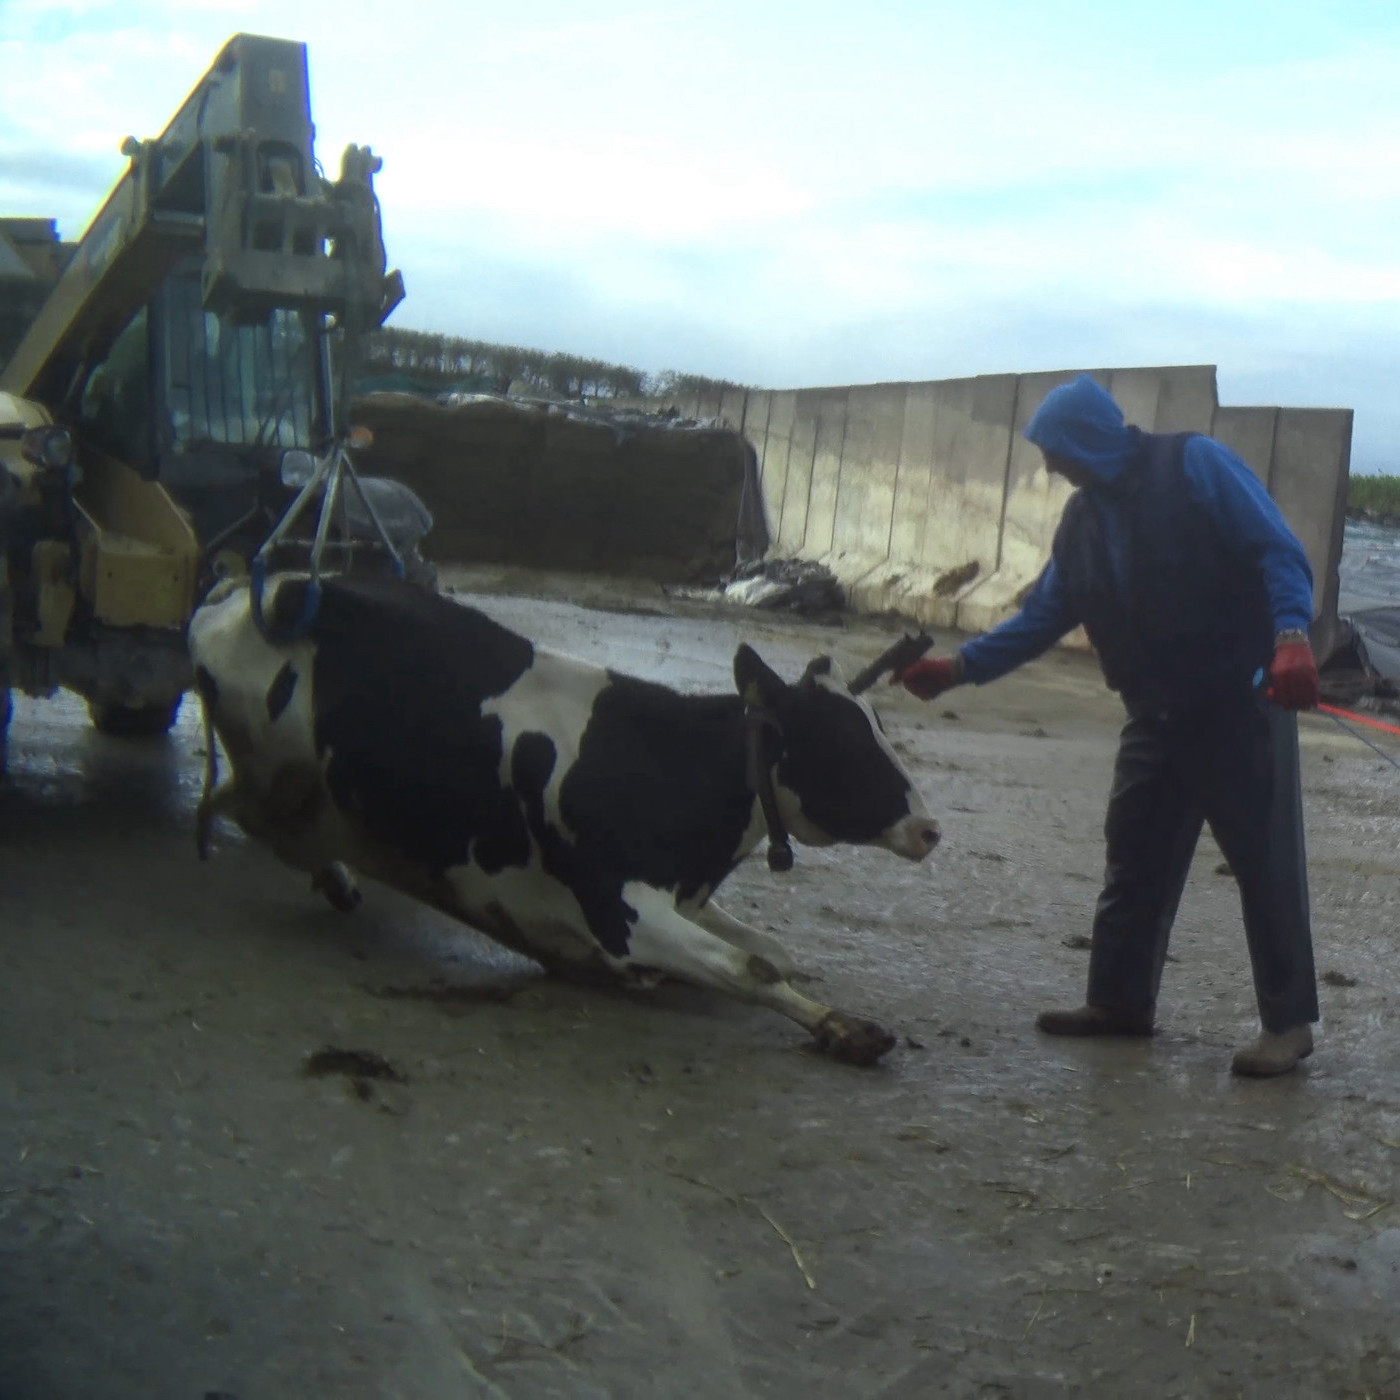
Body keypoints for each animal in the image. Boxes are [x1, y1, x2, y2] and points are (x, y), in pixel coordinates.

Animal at [189, 571, 940, 1058]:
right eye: (843, 744)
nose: (931, 830)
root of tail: (269, 587)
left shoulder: (683, 895)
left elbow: (774, 953)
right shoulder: (620, 909)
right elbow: (750, 966)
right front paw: (843, 1027)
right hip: (270, 760)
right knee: (235, 805)